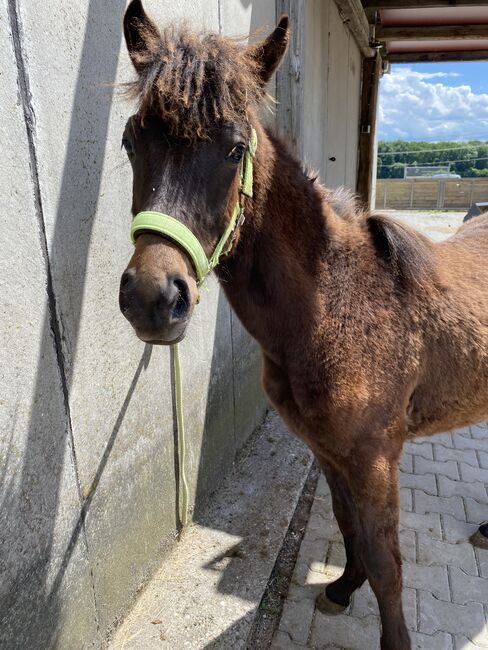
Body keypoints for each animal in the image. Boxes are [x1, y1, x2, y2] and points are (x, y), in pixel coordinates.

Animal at [117, 2, 488, 644]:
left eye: (235, 149)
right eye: (130, 140)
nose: (153, 298)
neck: (335, 308)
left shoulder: (374, 458)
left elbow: (388, 562)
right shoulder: (330, 451)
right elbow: (347, 525)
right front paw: (341, 587)